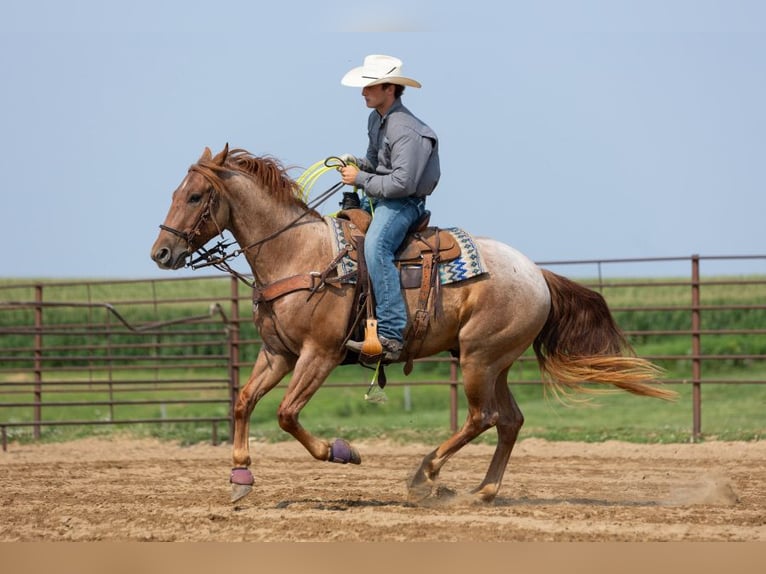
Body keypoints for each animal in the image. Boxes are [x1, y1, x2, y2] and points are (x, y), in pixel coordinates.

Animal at [150, 145, 676, 504]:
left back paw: (425, 475)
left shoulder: (319, 354)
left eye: (195, 196)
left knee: (483, 417)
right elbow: (243, 402)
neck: (299, 255)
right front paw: (240, 477)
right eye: (174, 193)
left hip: (480, 358)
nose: (161, 252)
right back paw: (483, 491)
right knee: (509, 420)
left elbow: (285, 414)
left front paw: (343, 452)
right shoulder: (277, 353)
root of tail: (537, 274)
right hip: (493, 361)